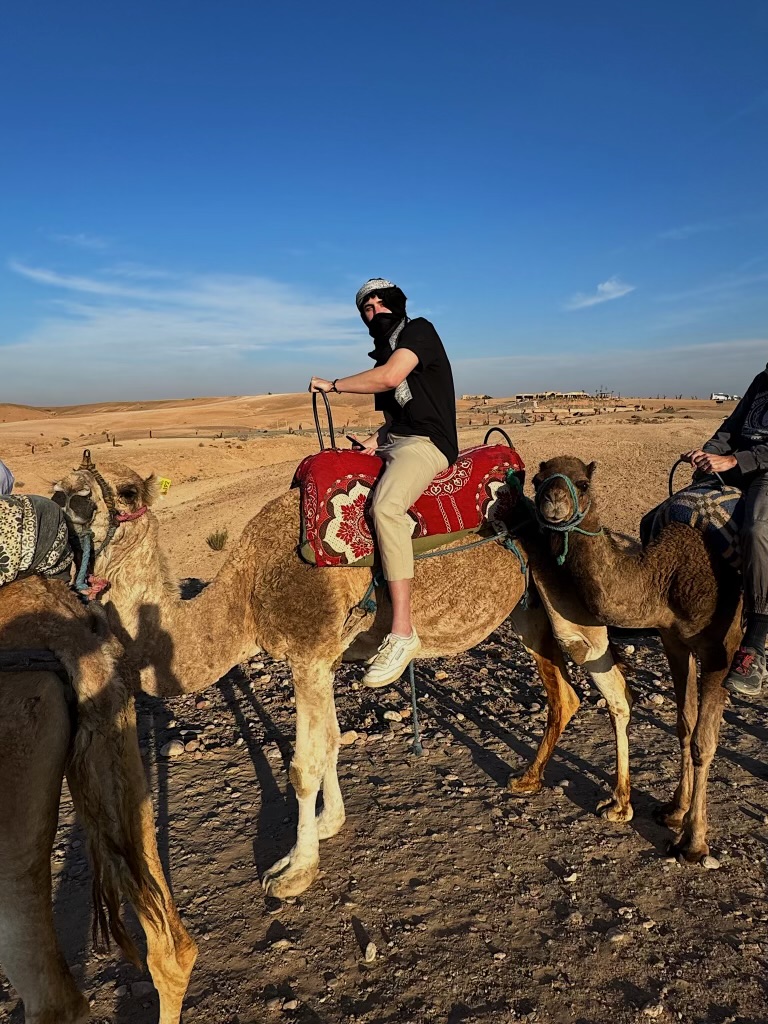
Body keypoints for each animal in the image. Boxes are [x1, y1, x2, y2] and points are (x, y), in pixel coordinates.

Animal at [49, 456, 630, 897]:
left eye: (125, 490)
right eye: (63, 484)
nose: (67, 494)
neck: (244, 594)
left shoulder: (307, 650)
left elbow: (304, 763)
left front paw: (294, 871)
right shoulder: (322, 657)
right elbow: (328, 742)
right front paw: (330, 824)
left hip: (570, 603)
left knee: (612, 686)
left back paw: (619, 804)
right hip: (528, 613)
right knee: (566, 694)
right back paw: (528, 779)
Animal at [528, 456, 745, 864]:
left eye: (583, 483)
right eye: (536, 480)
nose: (552, 502)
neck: (667, 574)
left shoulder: (720, 651)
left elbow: (703, 742)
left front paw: (693, 842)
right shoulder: (673, 639)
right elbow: (684, 724)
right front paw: (674, 811)